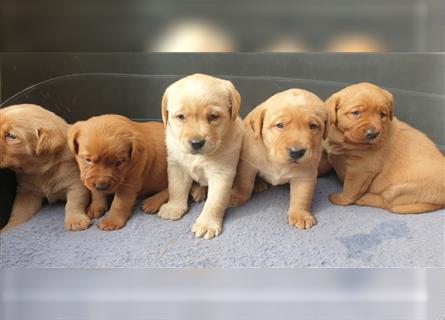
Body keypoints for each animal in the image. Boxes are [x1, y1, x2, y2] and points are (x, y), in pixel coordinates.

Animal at [147, 72, 243, 238]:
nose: (196, 143)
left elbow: (215, 201)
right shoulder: (176, 166)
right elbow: (175, 188)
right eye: (181, 116)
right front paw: (174, 207)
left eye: (213, 116)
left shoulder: (222, 173)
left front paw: (207, 223)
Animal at [229, 87, 326, 229]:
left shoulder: (305, 173)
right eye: (280, 125)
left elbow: (302, 195)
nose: (297, 152)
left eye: (313, 126)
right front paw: (237, 196)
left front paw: (300, 215)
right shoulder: (248, 164)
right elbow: (244, 183)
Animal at [322, 82, 444, 212]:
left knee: (388, 203)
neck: (344, 140)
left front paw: (341, 199)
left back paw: (365, 198)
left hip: (400, 188)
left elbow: (350, 188)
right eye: (356, 113)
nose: (373, 134)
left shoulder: (360, 169)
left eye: (383, 115)